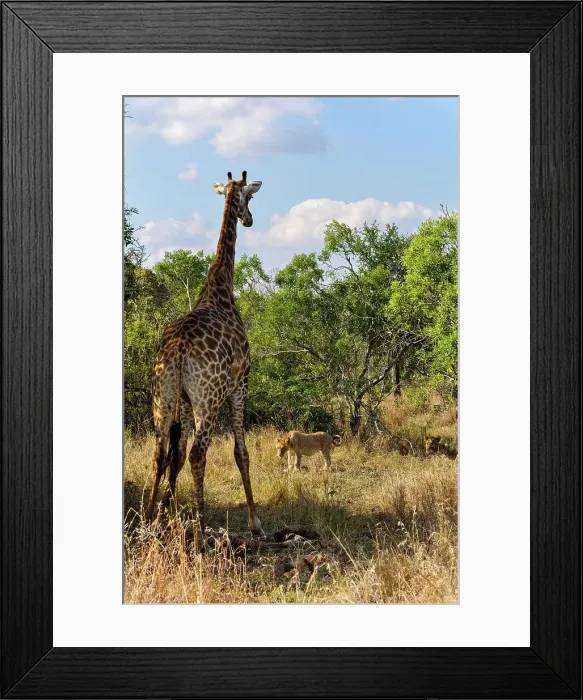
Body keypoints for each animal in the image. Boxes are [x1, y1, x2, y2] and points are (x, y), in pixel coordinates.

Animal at [144, 171, 264, 547]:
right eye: (249, 198)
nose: (250, 220)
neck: (221, 288)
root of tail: (181, 347)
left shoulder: (183, 399)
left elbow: (175, 455)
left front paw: (165, 515)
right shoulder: (241, 383)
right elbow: (242, 452)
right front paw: (255, 523)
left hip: (163, 396)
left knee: (160, 452)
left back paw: (149, 520)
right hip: (208, 399)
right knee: (199, 452)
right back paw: (199, 529)